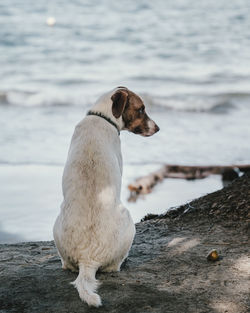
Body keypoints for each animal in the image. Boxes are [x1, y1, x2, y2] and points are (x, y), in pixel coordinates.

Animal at [53, 86, 159, 306]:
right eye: (141, 109)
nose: (158, 128)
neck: (102, 117)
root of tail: (88, 259)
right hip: (129, 224)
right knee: (113, 266)